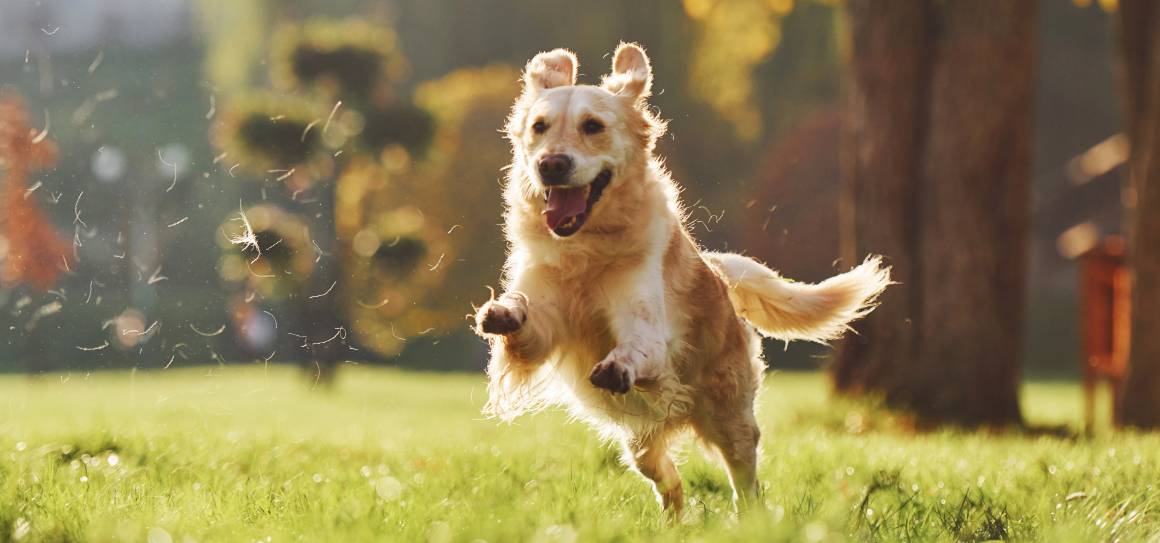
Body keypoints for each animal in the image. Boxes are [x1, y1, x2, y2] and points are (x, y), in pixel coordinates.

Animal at [470, 43, 886, 512]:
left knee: (746, 481)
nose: (551, 165)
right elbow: (522, 316)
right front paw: (502, 311)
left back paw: (747, 517)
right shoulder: (543, 324)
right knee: (670, 484)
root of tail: (721, 271)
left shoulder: (648, 329)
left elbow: (635, 347)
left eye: (593, 126)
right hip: (640, 445)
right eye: (539, 127)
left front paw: (617, 365)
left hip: (730, 418)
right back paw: (674, 518)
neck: (586, 248)